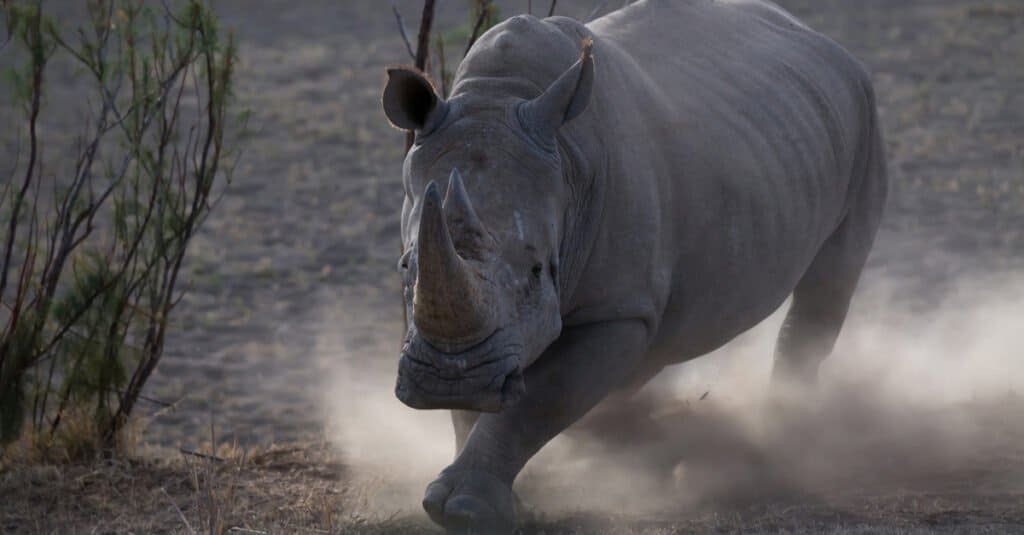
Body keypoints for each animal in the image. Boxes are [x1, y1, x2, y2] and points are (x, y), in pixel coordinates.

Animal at [380, 0, 884, 528]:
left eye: (540, 269)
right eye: (405, 266)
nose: (448, 381)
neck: (501, 97)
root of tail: (822, 40)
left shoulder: (616, 308)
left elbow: (542, 400)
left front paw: (467, 510)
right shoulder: (492, 334)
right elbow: (481, 405)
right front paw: (478, 502)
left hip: (866, 119)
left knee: (829, 279)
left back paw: (781, 442)